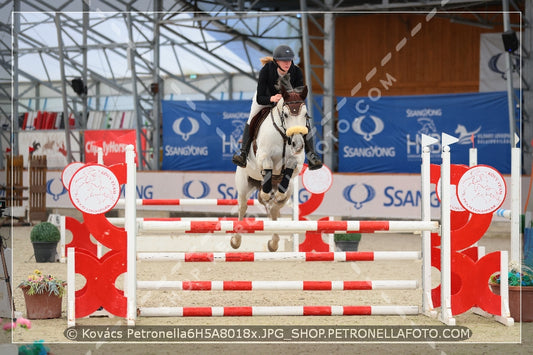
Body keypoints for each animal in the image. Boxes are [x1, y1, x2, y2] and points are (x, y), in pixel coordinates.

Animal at [232, 86, 310, 253]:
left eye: (305, 115)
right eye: (286, 114)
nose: (298, 144)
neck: (284, 136)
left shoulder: (296, 162)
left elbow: (289, 168)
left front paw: (276, 193)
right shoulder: (264, 156)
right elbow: (267, 166)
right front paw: (265, 194)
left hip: (290, 189)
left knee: (275, 208)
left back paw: (273, 243)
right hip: (243, 185)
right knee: (243, 207)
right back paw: (235, 240)